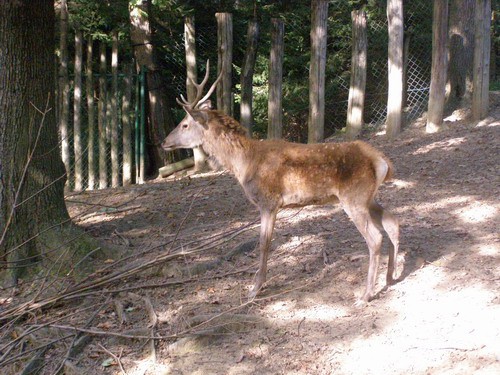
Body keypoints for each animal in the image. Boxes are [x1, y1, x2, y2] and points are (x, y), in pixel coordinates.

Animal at [162, 61, 400, 306]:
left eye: (184, 124)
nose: (164, 142)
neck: (244, 163)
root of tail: (381, 161)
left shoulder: (268, 201)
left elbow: (263, 243)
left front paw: (254, 289)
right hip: (368, 197)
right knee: (393, 223)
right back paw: (390, 277)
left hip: (354, 197)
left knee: (375, 237)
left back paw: (365, 295)